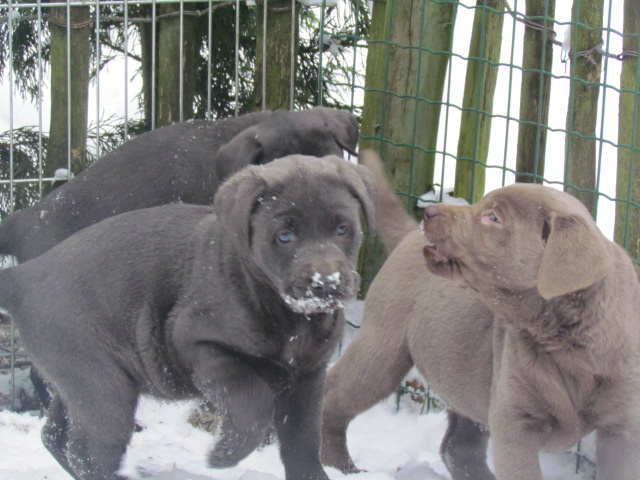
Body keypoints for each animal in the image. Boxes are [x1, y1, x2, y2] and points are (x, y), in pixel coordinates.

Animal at [0, 155, 378, 480]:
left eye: (343, 230)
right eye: (285, 236)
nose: (326, 282)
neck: (290, 318)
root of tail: (23, 277)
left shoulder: (308, 377)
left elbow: (304, 445)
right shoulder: (199, 346)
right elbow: (254, 403)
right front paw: (226, 453)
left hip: (76, 382)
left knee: (55, 437)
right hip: (103, 384)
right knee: (88, 452)